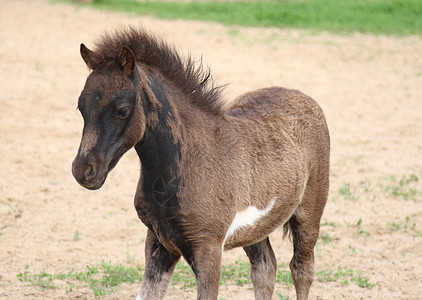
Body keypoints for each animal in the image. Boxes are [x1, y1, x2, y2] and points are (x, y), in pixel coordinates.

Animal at [71, 28, 330, 300]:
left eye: (122, 110)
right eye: (81, 107)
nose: (83, 170)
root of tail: (304, 97)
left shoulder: (208, 248)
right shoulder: (158, 242)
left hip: (310, 210)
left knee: (301, 268)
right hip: (256, 228)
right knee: (265, 269)